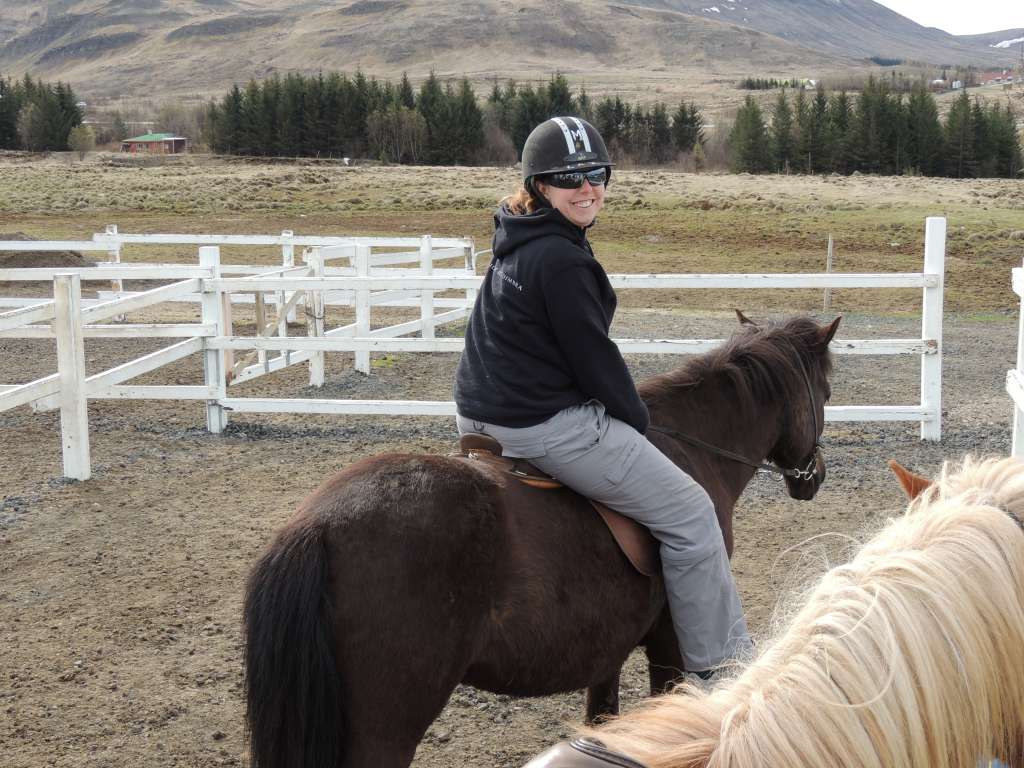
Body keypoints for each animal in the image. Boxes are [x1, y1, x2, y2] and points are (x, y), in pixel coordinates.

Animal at [241, 313, 839, 768]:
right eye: (828, 391)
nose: (814, 476)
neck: (696, 449)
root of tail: (317, 525)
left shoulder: (607, 651)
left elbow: (604, 720)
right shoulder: (668, 642)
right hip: (385, 727)